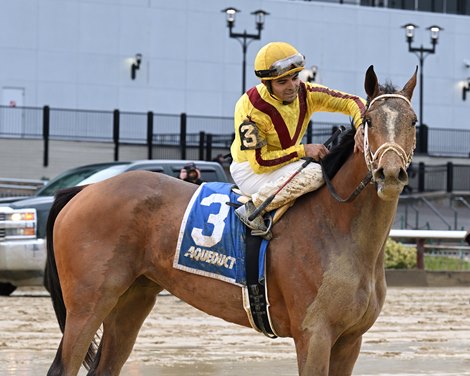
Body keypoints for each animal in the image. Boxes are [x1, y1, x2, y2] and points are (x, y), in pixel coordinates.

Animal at [46, 66, 416, 374]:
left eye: (413, 121)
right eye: (369, 121)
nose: (390, 173)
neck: (338, 230)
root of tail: (84, 189)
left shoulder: (350, 340)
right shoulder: (314, 334)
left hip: (131, 301)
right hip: (87, 305)